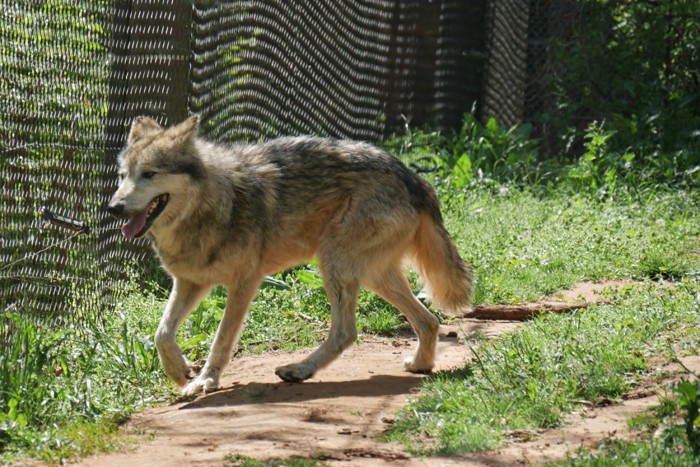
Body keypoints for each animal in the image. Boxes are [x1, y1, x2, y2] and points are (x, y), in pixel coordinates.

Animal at [108, 116, 470, 394]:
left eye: (149, 174)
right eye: (123, 175)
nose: (114, 207)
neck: (214, 204)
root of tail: (413, 177)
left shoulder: (244, 284)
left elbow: (221, 340)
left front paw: (206, 381)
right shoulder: (190, 283)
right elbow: (162, 334)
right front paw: (179, 371)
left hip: (335, 265)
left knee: (347, 331)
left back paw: (300, 370)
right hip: (372, 275)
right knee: (429, 321)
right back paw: (420, 365)